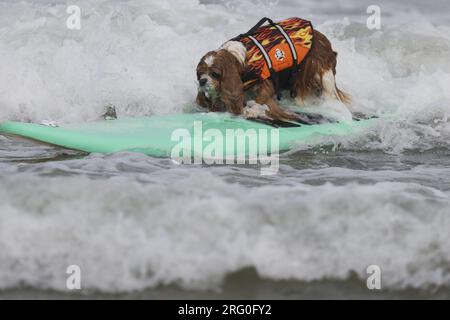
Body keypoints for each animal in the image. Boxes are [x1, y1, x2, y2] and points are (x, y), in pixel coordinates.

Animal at [195, 16, 350, 124]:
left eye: (215, 74)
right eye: (199, 73)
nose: (202, 81)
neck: (239, 59)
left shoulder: (265, 83)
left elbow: (261, 99)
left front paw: (252, 111)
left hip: (323, 74)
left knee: (329, 93)